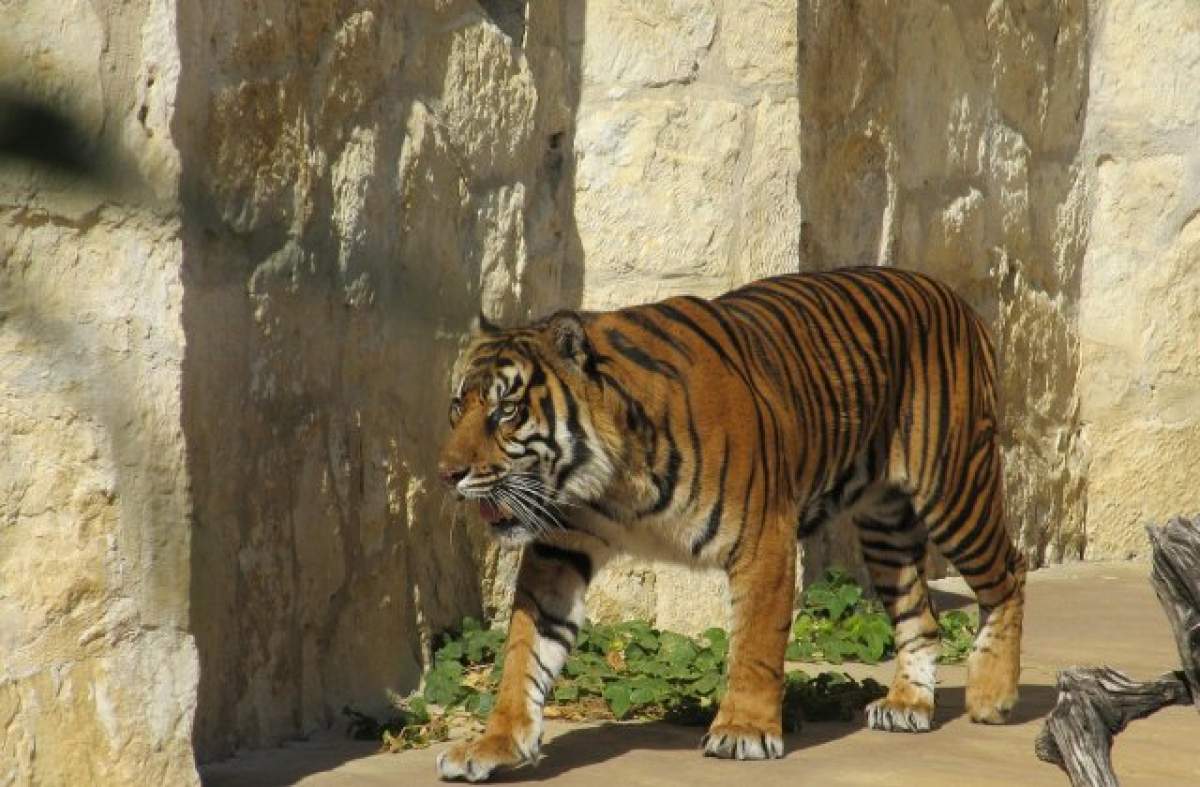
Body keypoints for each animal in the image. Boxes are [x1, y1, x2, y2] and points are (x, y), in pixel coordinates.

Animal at [436, 266, 1027, 782]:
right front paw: (495, 744)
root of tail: (949, 294)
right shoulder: (559, 550)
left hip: (955, 489)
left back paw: (993, 695)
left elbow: (756, 643)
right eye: (457, 406)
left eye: (506, 412)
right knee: (919, 614)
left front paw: (743, 730)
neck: (611, 483)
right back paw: (909, 703)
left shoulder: (764, 537)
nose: (447, 474)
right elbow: (525, 651)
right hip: (886, 527)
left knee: (1010, 572)